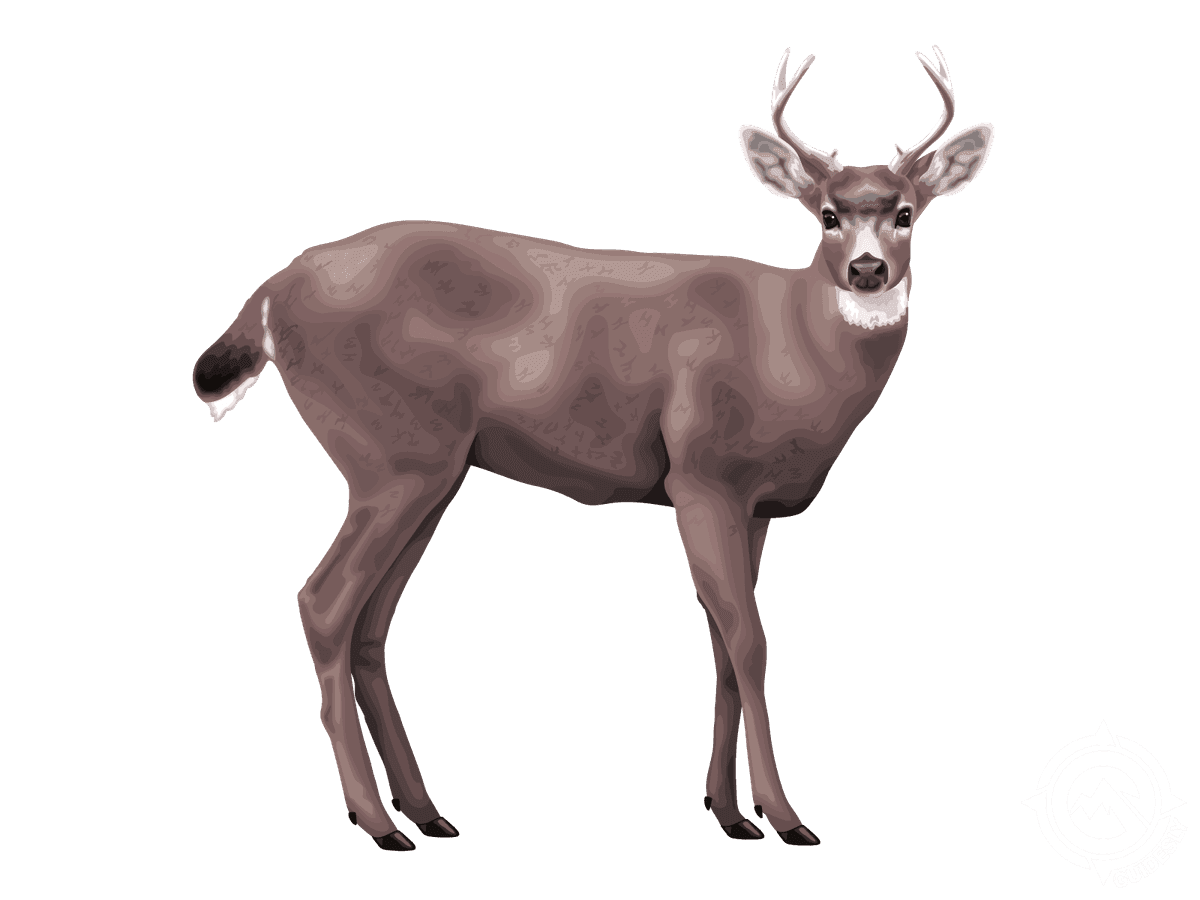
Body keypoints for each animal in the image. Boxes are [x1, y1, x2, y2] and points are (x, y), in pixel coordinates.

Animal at [192, 44, 993, 852]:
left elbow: (721, 651)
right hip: (392, 456)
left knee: (371, 623)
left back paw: (425, 810)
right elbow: (750, 643)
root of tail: (269, 296)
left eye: (905, 212)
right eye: (827, 215)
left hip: (432, 470)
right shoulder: (703, 474)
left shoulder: (756, 503)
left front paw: (730, 813)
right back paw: (377, 822)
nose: (868, 270)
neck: (791, 350)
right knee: (323, 603)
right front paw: (787, 817)